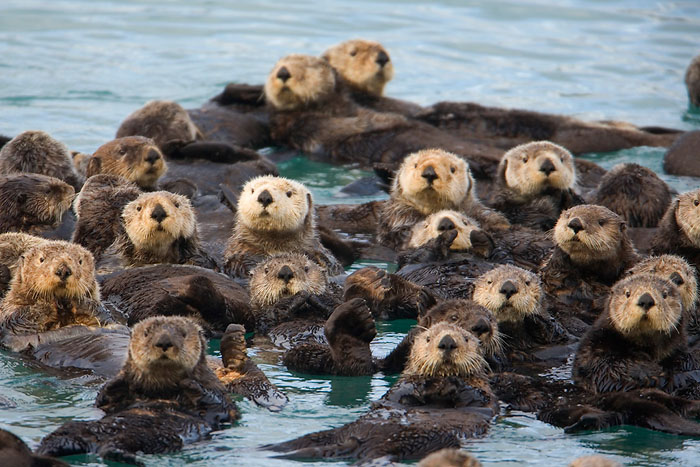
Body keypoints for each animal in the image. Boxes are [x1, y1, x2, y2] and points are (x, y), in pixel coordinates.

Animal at [37, 316, 238, 462]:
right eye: (147, 333)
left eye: (182, 334)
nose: (164, 342)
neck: (160, 390)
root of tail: (93, 443)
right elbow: (103, 401)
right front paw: (118, 382)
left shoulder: (218, 394)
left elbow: (219, 405)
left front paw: (189, 384)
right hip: (71, 429)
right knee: (59, 438)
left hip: (152, 437)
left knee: (117, 446)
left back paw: (123, 455)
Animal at [268, 323, 497, 462]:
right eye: (429, 339)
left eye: (466, 338)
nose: (447, 341)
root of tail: (356, 440)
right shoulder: (397, 389)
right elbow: (398, 393)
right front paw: (424, 385)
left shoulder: (484, 398)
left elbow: (473, 398)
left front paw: (450, 383)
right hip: (331, 433)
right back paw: (270, 447)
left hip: (427, 439)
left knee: (377, 454)